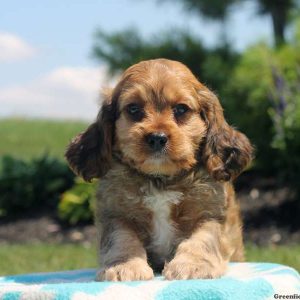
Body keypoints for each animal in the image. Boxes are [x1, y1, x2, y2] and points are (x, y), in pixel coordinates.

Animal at [65, 58, 253, 282]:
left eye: (181, 109)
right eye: (133, 109)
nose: (157, 138)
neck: (160, 179)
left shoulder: (212, 213)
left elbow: (202, 238)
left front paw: (193, 265)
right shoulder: (115, 213)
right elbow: (121, 238)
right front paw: (124, 266)